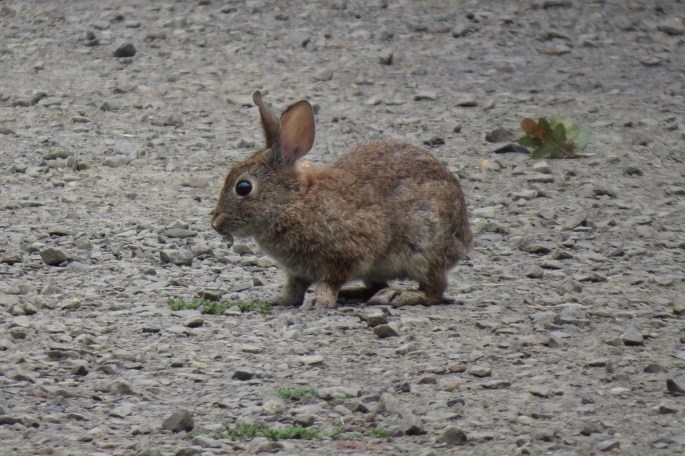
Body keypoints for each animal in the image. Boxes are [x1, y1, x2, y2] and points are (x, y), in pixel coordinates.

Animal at [212, 91, 472, 310]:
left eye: (243, 187)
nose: (215, 224)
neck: (293, 202)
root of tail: (464, 237)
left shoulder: (347, 253)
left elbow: (330, 280)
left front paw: (319, 300)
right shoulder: (298, 270)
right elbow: (294, 287)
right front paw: (280, 299)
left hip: (424, 248)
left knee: (435, 290)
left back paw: (397, 296)